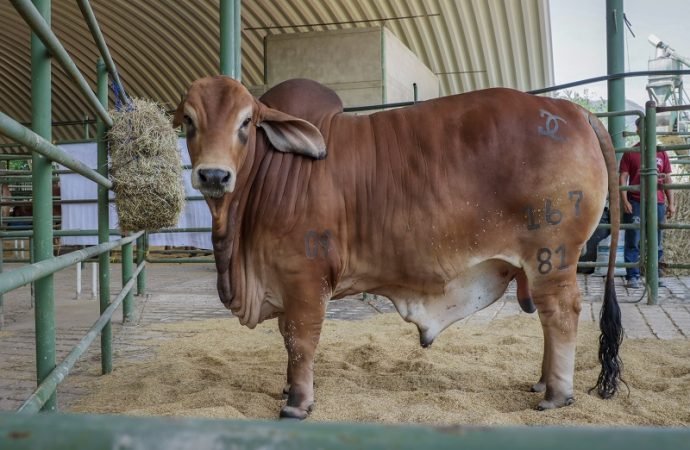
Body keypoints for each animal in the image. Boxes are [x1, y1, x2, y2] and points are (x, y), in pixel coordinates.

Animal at [173, 76, 624, 418]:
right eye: (189, 121)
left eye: (246, 122)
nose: (213, 175)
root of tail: (571, 111)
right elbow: (288, 338)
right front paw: (287, 389)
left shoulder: (306, 278)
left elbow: (300, 340)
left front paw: (298, 403)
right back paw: (541, 383)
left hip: (553, 257)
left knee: (560, 314)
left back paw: (556, 395)